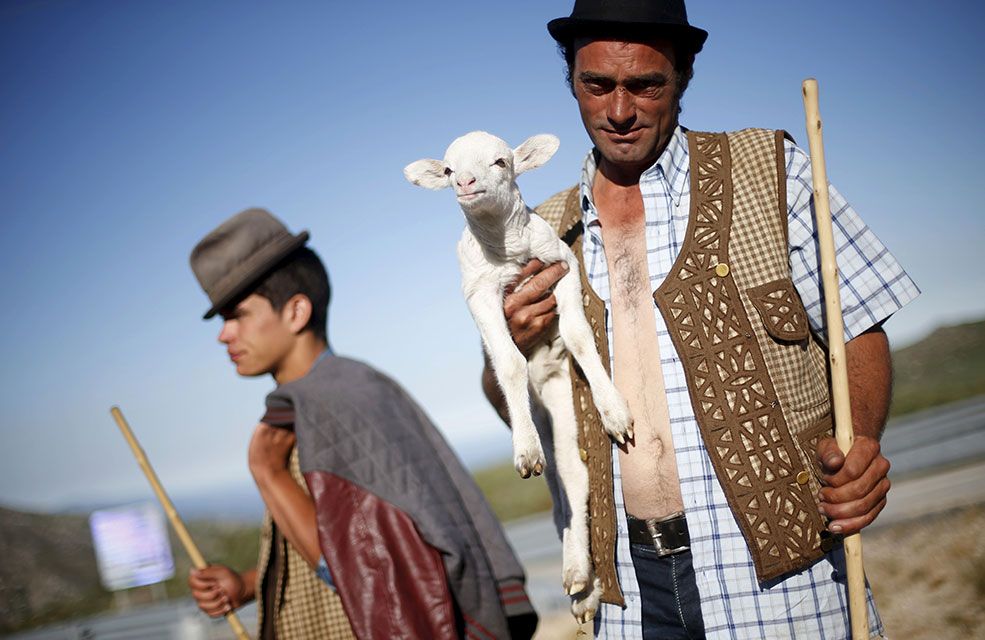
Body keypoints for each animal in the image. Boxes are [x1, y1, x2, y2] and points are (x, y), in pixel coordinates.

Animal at [404, 130, 636, 620]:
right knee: (562, 484)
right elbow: (508, 362)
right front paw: (525, 451)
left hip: (561, 396)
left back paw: (579, 577)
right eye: (448, 170)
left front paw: (613, 411)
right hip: (543, 405)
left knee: (573, 475)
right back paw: (580, 580)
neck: (507, 250)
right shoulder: (480, 294)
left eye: (501, 162)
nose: (465, 182)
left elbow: (579, 335)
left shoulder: (561, 263)